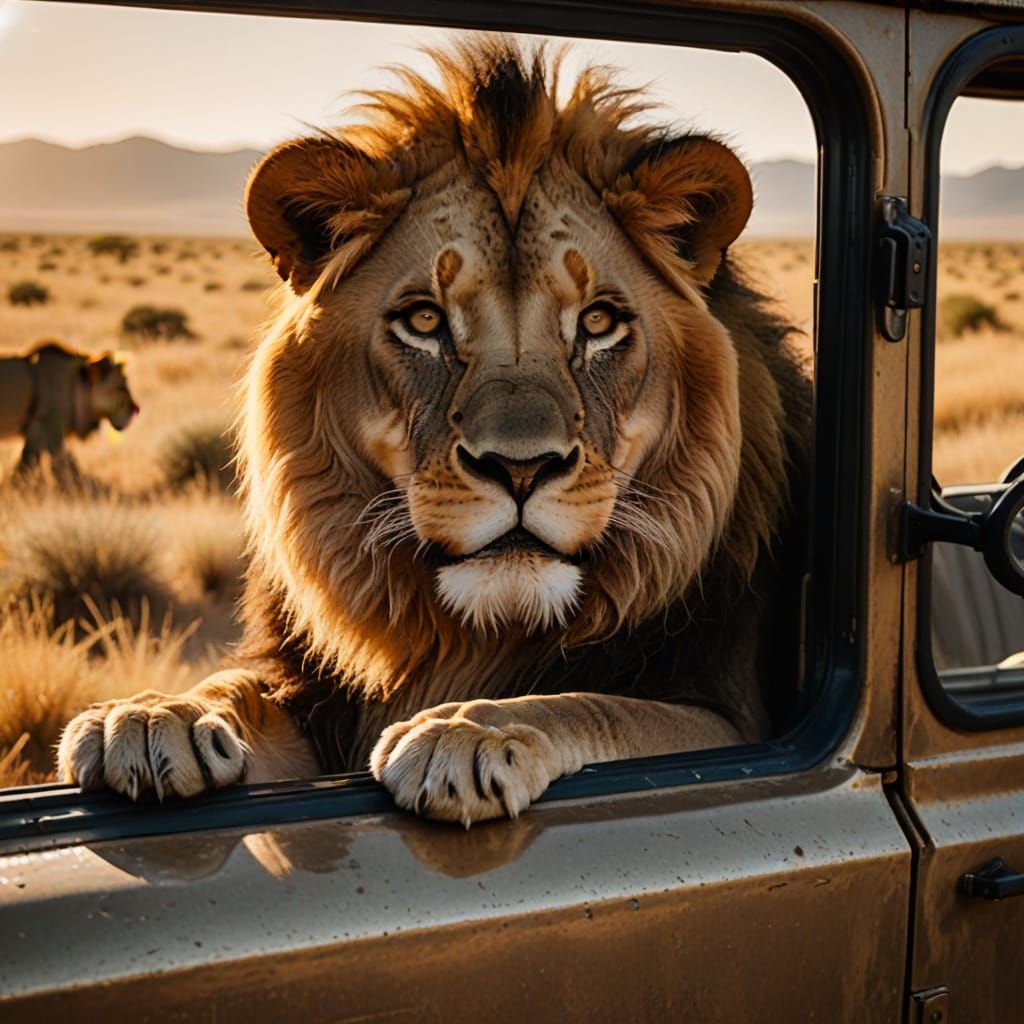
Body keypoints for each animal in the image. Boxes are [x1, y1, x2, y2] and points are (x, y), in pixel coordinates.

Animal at [57, 40, 811, 826]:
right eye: (424, 320)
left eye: (599, 322)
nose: (520, 468)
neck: (474, 635)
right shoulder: (312, 696)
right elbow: (235, 687)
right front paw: (151, 715)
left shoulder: (738, 725)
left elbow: (595, 704)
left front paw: (467, 730)